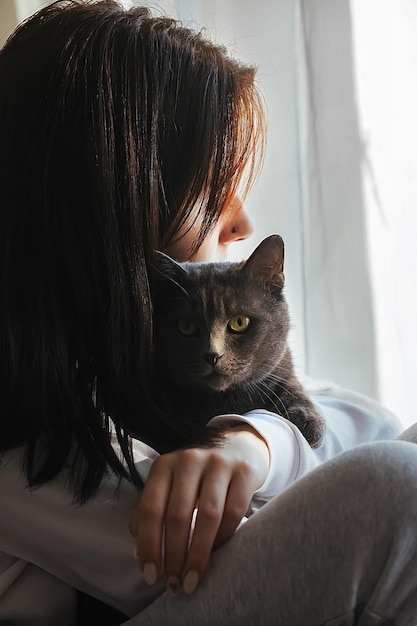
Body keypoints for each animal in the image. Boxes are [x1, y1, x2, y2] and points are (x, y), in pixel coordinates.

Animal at [152, 232, 324, 446]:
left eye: (240, 322)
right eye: (186, 326)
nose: (212, 355)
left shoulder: (282, 365)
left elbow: (291, 384)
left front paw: (306, 418)